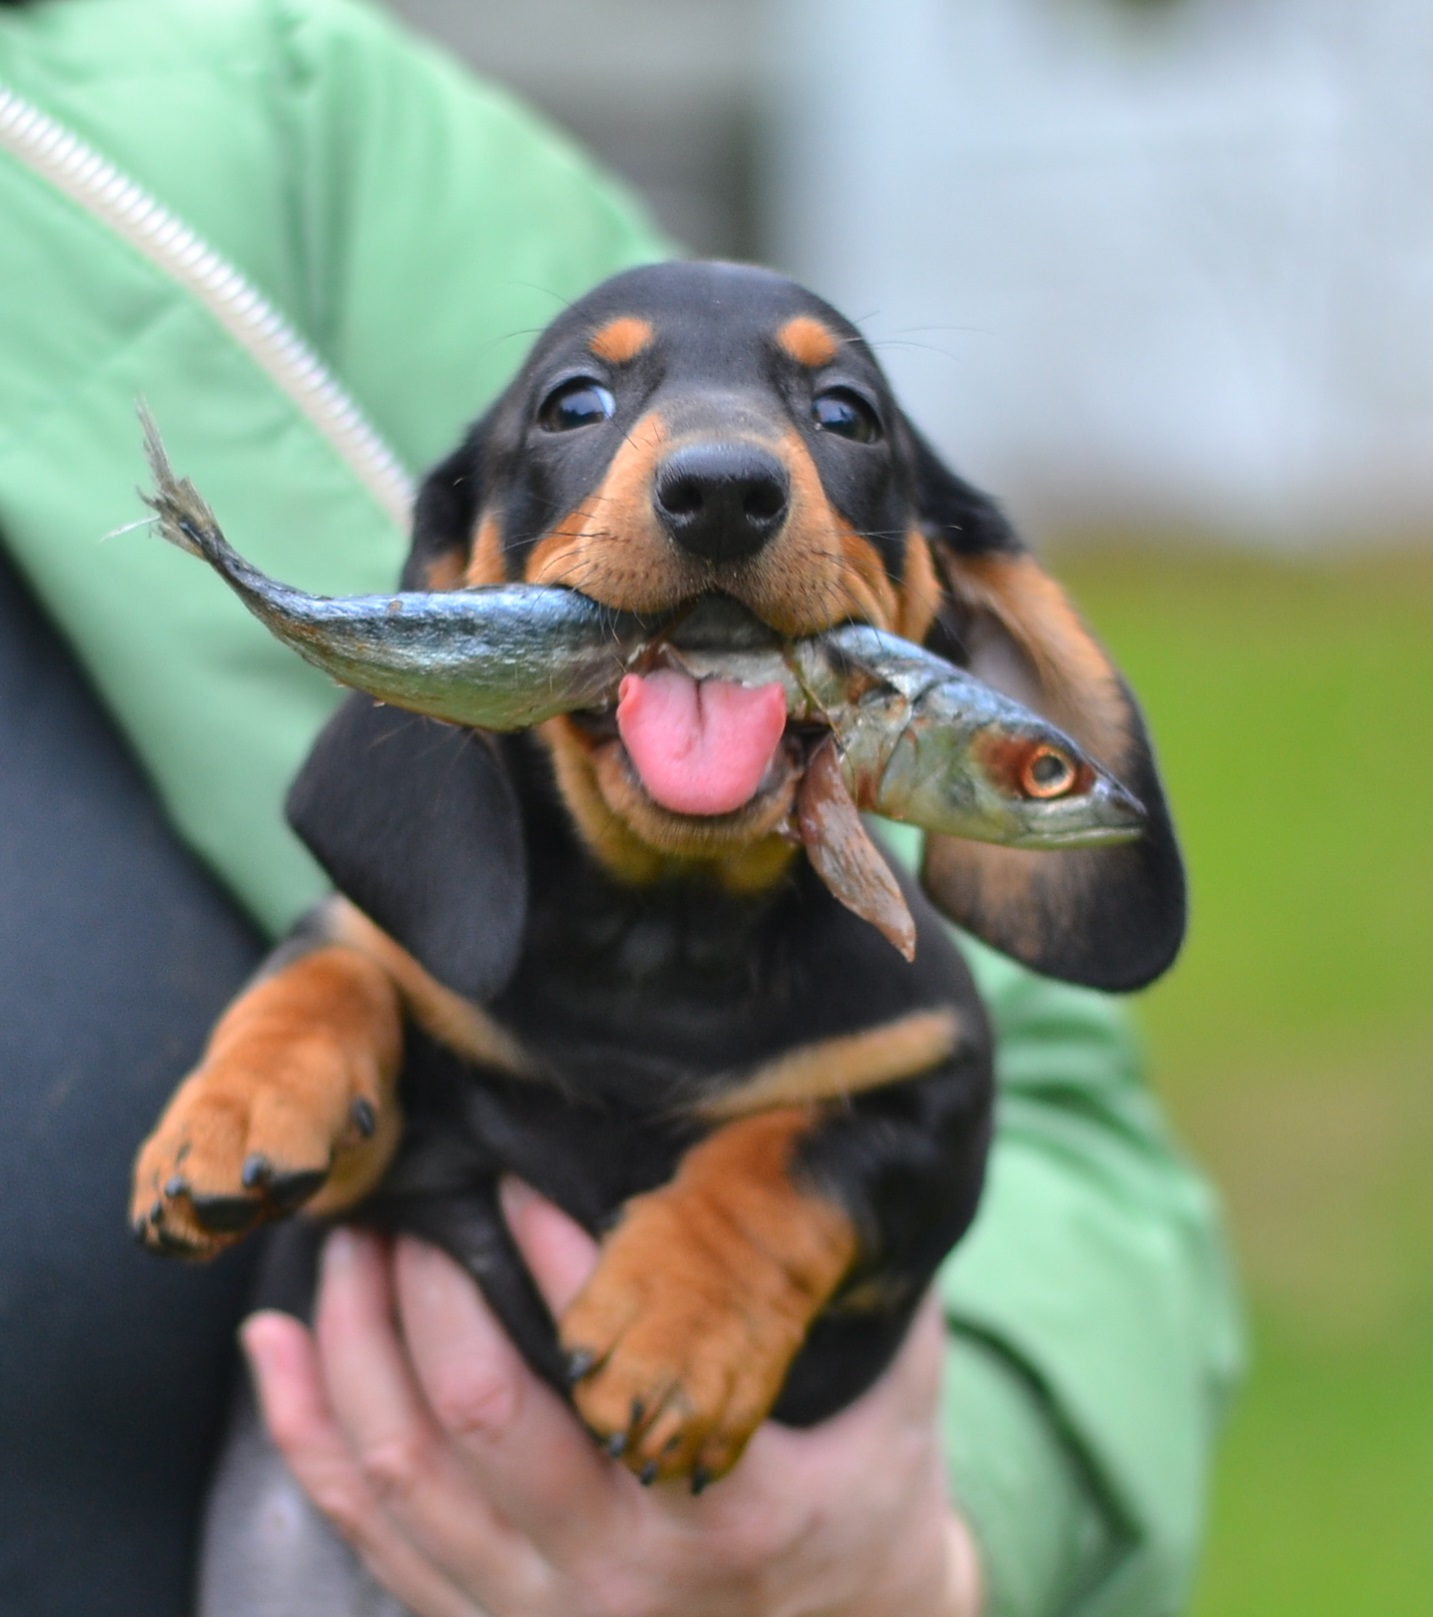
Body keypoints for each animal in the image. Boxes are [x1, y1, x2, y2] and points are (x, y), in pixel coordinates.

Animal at [131, 261, 1190, 1487]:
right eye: (573, 404)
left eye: (846, 414)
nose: (723, 491)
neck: (663, 946)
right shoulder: (382, 1190)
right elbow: (335, 961)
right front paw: (237, 1111)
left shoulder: (938, 1115)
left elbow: (803, 1152)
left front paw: (679, 1325)